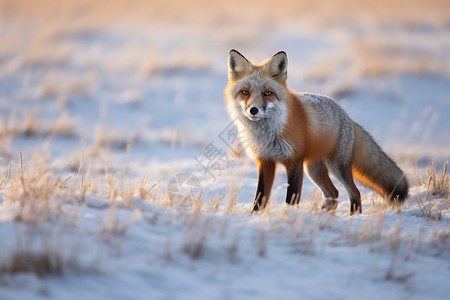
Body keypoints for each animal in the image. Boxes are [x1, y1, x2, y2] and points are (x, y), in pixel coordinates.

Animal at [225, 49, 408, 213]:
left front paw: (289, 216)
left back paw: (352, 217)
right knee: (333, 193)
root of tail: (347, 116)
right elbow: (260, 198)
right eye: (245, 92)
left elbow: (292, 197)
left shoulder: (294, 161)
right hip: (314, 170)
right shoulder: (265, 161)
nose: (253, 110)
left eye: (268, 93)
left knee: (354, 192)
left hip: (336, 167)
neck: (266, 134)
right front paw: (255, 216)